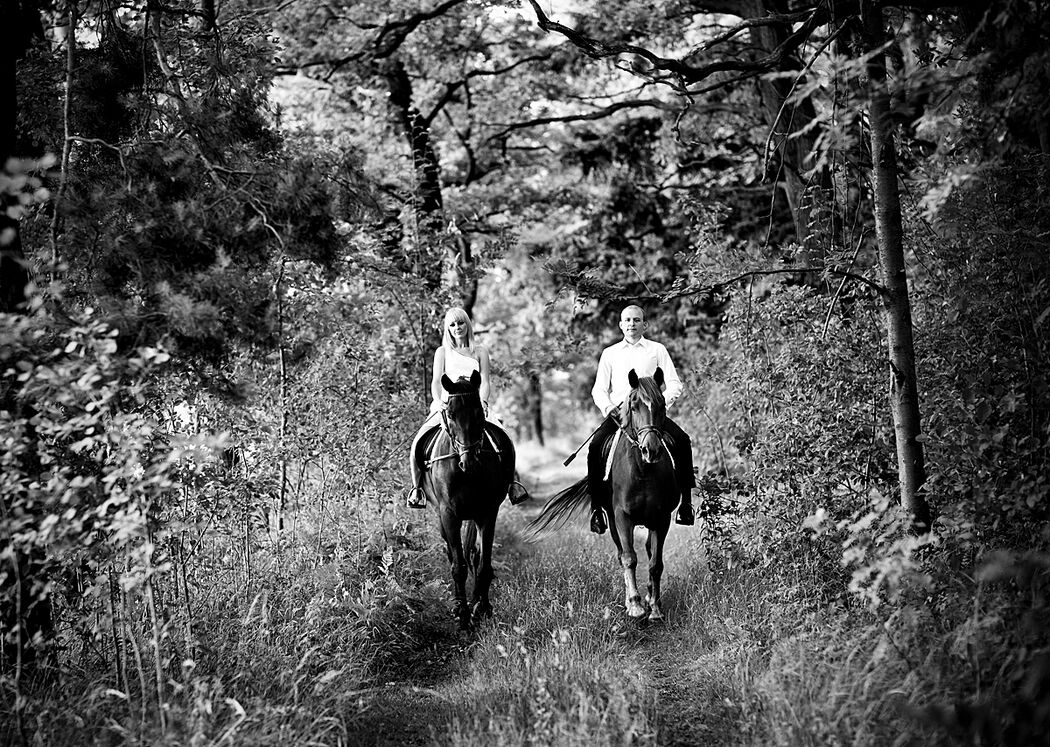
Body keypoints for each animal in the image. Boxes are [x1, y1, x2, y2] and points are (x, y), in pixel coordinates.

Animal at [417, 371, 516, 626]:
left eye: (479, 413)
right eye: (450, 414)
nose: (468, 462)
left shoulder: (487, 512)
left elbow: (482, 562)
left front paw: (482, 607)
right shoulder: (449, 514)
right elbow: (458, 566)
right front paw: (461, 614)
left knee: (474, 554)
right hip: (441, 515)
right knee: (454, 554)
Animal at [525, 367, 680, 617]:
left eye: (662, 404)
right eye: (634, 406)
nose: (651, 450)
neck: (643, 471)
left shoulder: (662, 518)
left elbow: (655, 563)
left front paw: (655, 607)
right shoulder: (622, 517)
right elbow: (629, 558)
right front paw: (635, 605)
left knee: (648, 550)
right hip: (611, 519)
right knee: (622, 554)